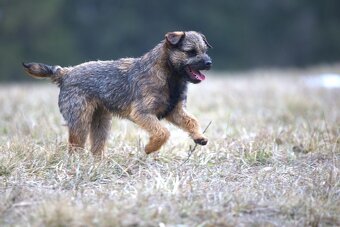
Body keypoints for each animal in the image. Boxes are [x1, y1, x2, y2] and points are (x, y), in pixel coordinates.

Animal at [22, 31, 211, 155]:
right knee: (75, 147)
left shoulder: (175, 111)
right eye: (191, 52)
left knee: (96, 148)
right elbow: (162, 132)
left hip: (101, 123)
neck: (169, 74)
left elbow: (191, 120)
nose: (209, 62)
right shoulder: (142, 113)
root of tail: (66, 72)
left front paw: (199, 136)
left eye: (204, 50)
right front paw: (150, 148)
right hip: (80, 121)